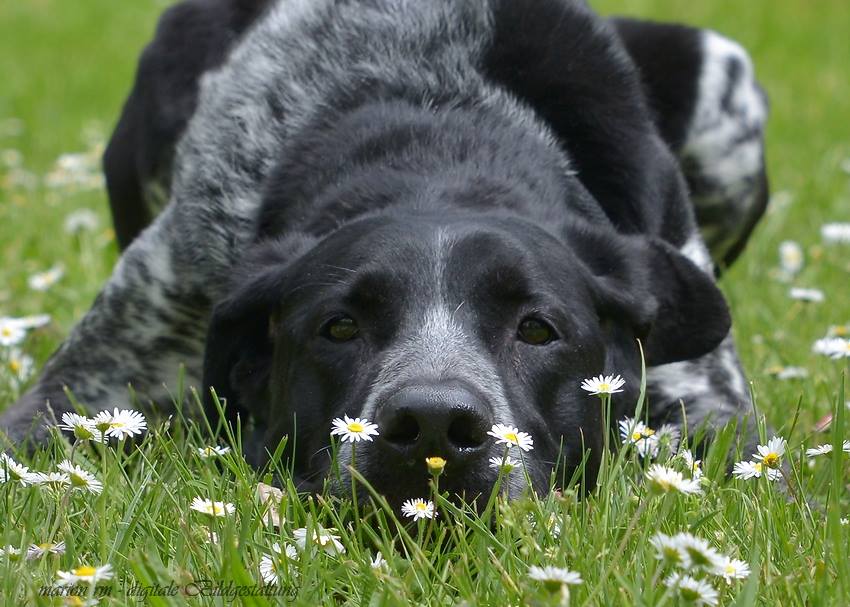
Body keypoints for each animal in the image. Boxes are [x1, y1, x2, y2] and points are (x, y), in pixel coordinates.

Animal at [1, 1, 768, 508]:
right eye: (339, 326)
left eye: (537, 329)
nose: (433, 424)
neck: (438, 123)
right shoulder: (89, 387)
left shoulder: (712, 405)